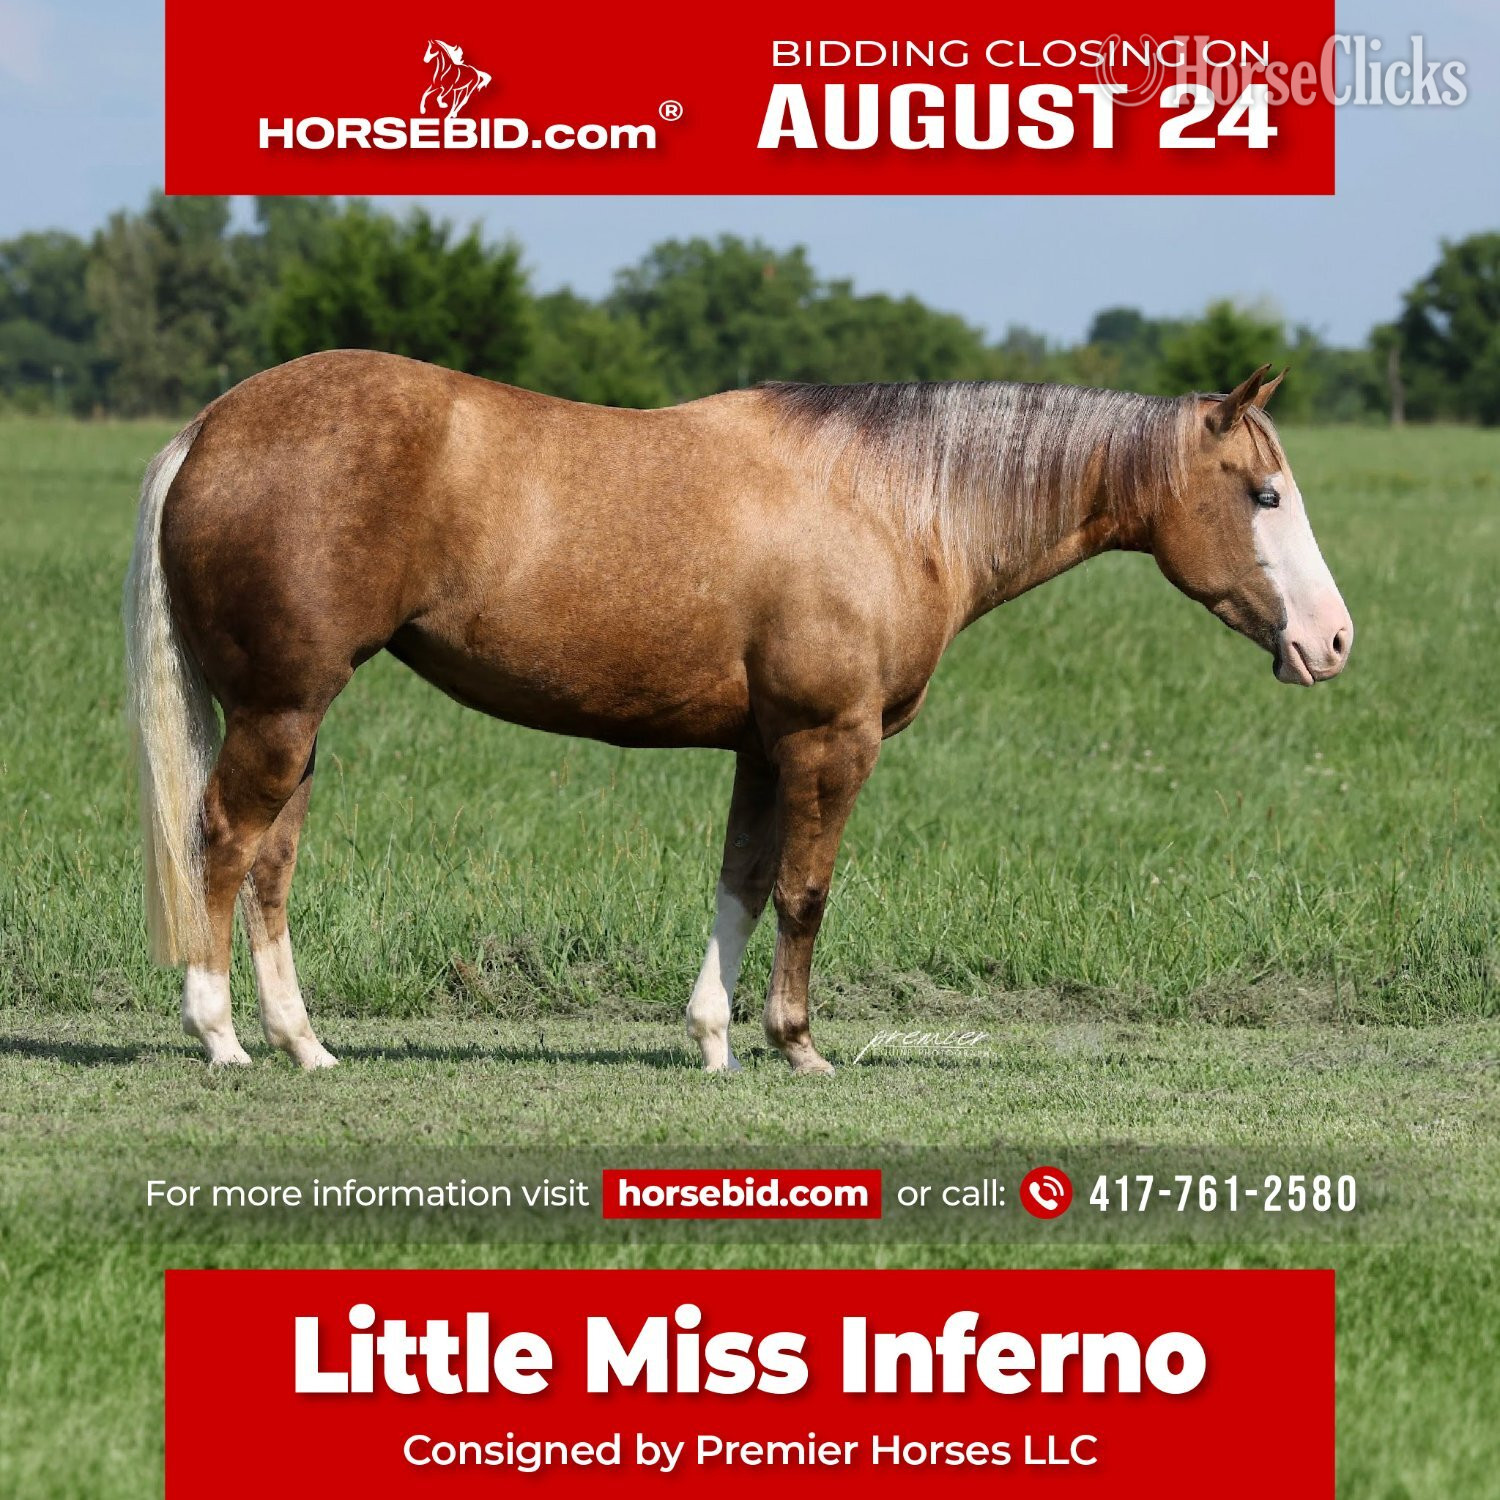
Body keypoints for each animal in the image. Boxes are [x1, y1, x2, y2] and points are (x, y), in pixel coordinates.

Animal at [122, 352, 1353, 1075]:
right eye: (1264, 495)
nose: (1332, 642)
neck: (894, 501)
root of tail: (212, 426)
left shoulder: (766, 748)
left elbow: (745, 881)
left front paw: (713, 1040)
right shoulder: (828, 741)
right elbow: (806, 892)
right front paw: (795, 1044)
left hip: (293, 721)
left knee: (272, 862)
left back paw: (304, 1044)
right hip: (280, 710)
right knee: (222, 842)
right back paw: (221, 1038)